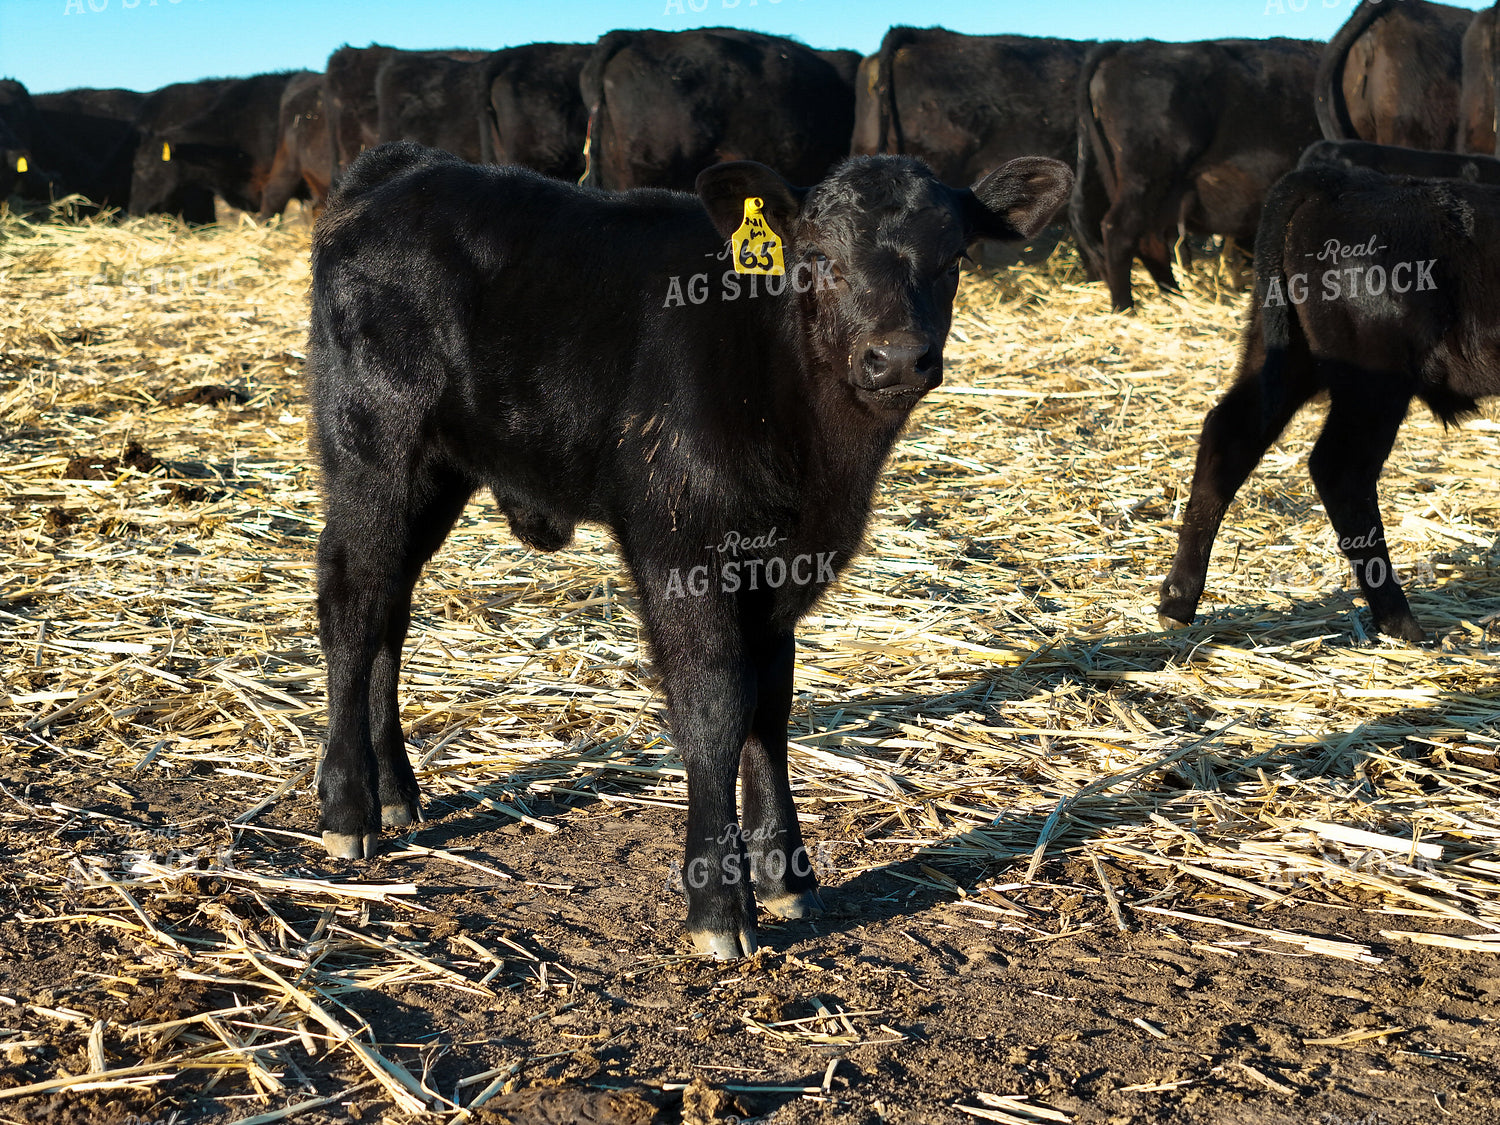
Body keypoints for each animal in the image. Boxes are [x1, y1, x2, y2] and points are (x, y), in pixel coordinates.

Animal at [307, 141, 1072, 957]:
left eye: (953, 257)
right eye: (820, 258)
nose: (897, 358)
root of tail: (407, 167)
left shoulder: (779, 570)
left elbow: (771, 706)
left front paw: (786, 875)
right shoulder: (682, 547)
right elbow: (715, 705)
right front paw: (719, 904)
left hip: (437, 473)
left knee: (390, 611)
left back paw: (395, 794)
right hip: (374, 448)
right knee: (351, 605)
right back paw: (348, 808)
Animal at [1070, 38, 1321, 312]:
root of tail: (1126, 47)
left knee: (1149, 241)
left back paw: (1174, 297)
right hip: (1145, 180)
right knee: (1119, 232)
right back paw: (1125, 308)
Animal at [1158, 161, 1500, 644]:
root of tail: (1337, 180)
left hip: (1281, 356)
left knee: (1229, 436)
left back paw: (1177, 601)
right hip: (1372, 387)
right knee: (1340, 470)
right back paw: (1401, 622)